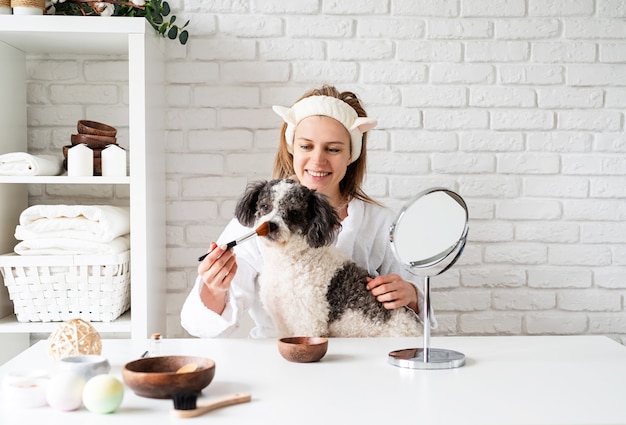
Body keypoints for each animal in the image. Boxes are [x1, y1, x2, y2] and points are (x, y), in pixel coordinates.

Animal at [233, 177, 420, 336]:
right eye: (265, 206)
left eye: (294, 213)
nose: (270, 225)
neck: (290, 260)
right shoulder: (282, 323)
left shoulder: (309, 322)